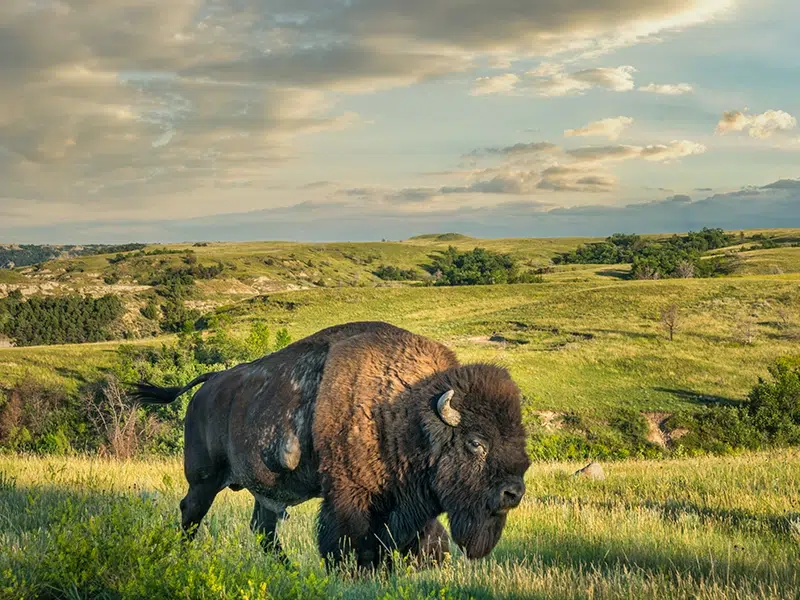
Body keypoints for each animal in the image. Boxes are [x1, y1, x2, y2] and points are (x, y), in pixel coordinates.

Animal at [131, 322, 532, 568]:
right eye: (476, 442)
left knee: (263, 530)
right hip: (204, 479)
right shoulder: (350, 497)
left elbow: (422, 544)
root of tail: (211, 383)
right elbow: (348, 542)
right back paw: (181, 557)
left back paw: (290, 570)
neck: (403, 411)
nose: (513, 493)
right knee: (191, 512)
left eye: (519, 438)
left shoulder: (408, 505)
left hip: (265, 491)